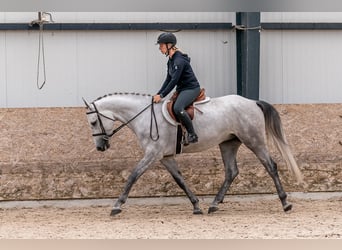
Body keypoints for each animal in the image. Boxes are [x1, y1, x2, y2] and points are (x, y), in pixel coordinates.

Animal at [83, 93, 304, 216]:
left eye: (93, 122)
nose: (100, 147)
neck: (144, 116)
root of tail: (252, 102)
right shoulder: (165, 157)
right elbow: (180, 180)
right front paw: (196, 206)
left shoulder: (153, 154)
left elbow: (133, 176)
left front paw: (117, 205)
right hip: (228, 144)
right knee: (231, 172)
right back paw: (214, 205)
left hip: (254, 140)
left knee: (270, 166)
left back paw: (285, 203)